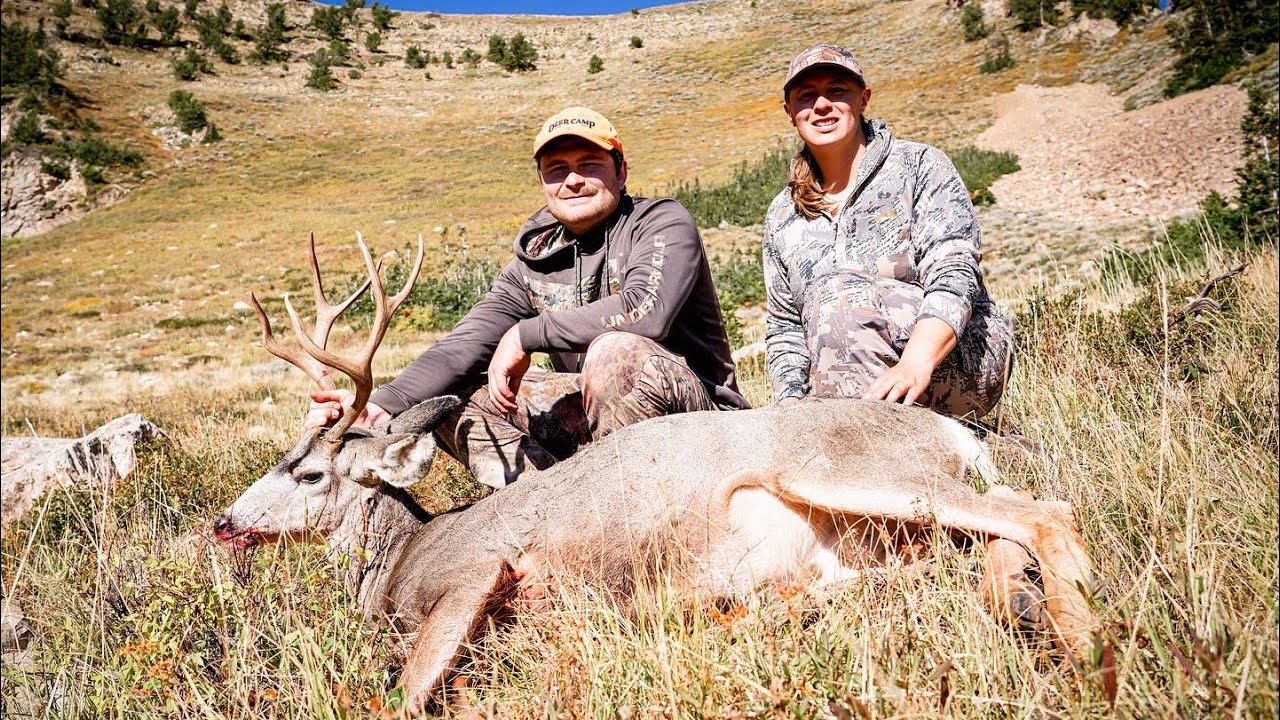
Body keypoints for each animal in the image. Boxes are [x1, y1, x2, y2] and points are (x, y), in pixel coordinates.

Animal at [214, 235, 1098, 713]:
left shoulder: (480, 570)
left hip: (840, 468)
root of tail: (951, 429)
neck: (400, 562)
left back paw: (1090, 655)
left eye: (309, 474)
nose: (224, 522)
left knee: (1045, 511)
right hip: (877, 537)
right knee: (984, 534)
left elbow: (405, 690)